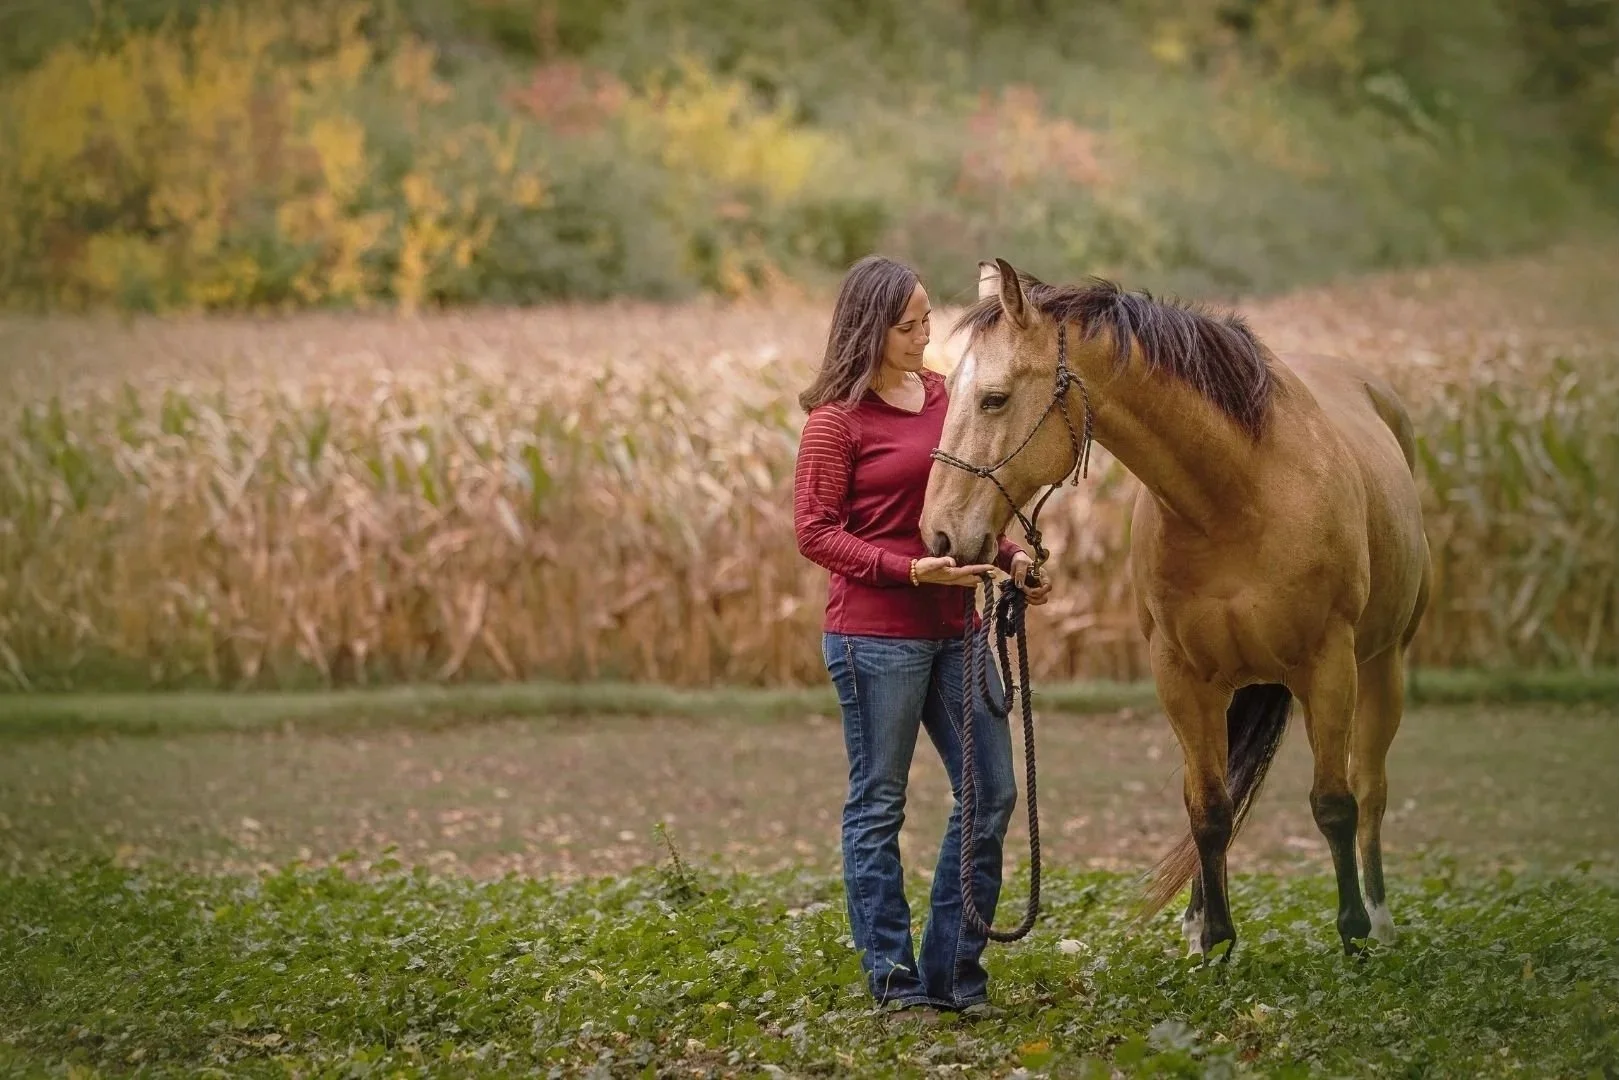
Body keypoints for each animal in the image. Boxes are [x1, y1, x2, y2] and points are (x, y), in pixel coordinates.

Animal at [919, 258, 1432, 957]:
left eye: (993, 398)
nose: (939, 535)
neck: (1239, 492)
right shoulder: (1182, 677)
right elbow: (1208, 810)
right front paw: (1213, 941)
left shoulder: (1330, 667)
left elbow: (1335, 803)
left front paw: (1352, 936)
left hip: (1382, 668)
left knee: (1372, 789)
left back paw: (1378, 919)